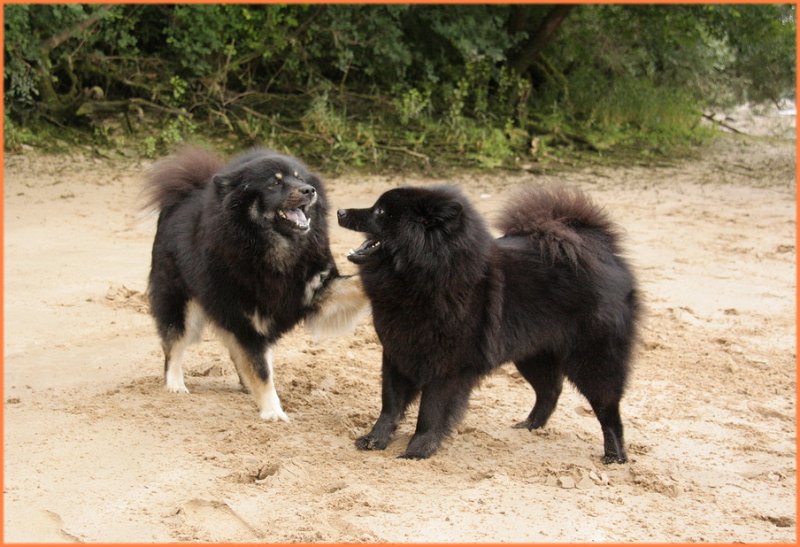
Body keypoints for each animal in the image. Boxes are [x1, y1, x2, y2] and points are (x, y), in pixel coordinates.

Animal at [144, 146, 369, 421]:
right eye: (275, 183)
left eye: (300, 178)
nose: (309, 190)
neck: (277, 250)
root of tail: (184, 195)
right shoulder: (248, 321)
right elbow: (261, 370)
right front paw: (273, 412)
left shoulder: (318, 289)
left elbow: (355, 285)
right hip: (180, 303)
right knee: (174, 345)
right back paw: (175, 385)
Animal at [337, 185, 639, 462]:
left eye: (380, 212)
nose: (340, 211)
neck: (427, 277)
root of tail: (604, 253)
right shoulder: (397, 353)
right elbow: (390, 405)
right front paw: (375, 439)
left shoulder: (447, 368)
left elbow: (430, 413)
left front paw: (418, 449)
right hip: (533, 354)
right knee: (550, 391)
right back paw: (529, 426)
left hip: (593, 360)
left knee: (607, 409)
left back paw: (615, 455)